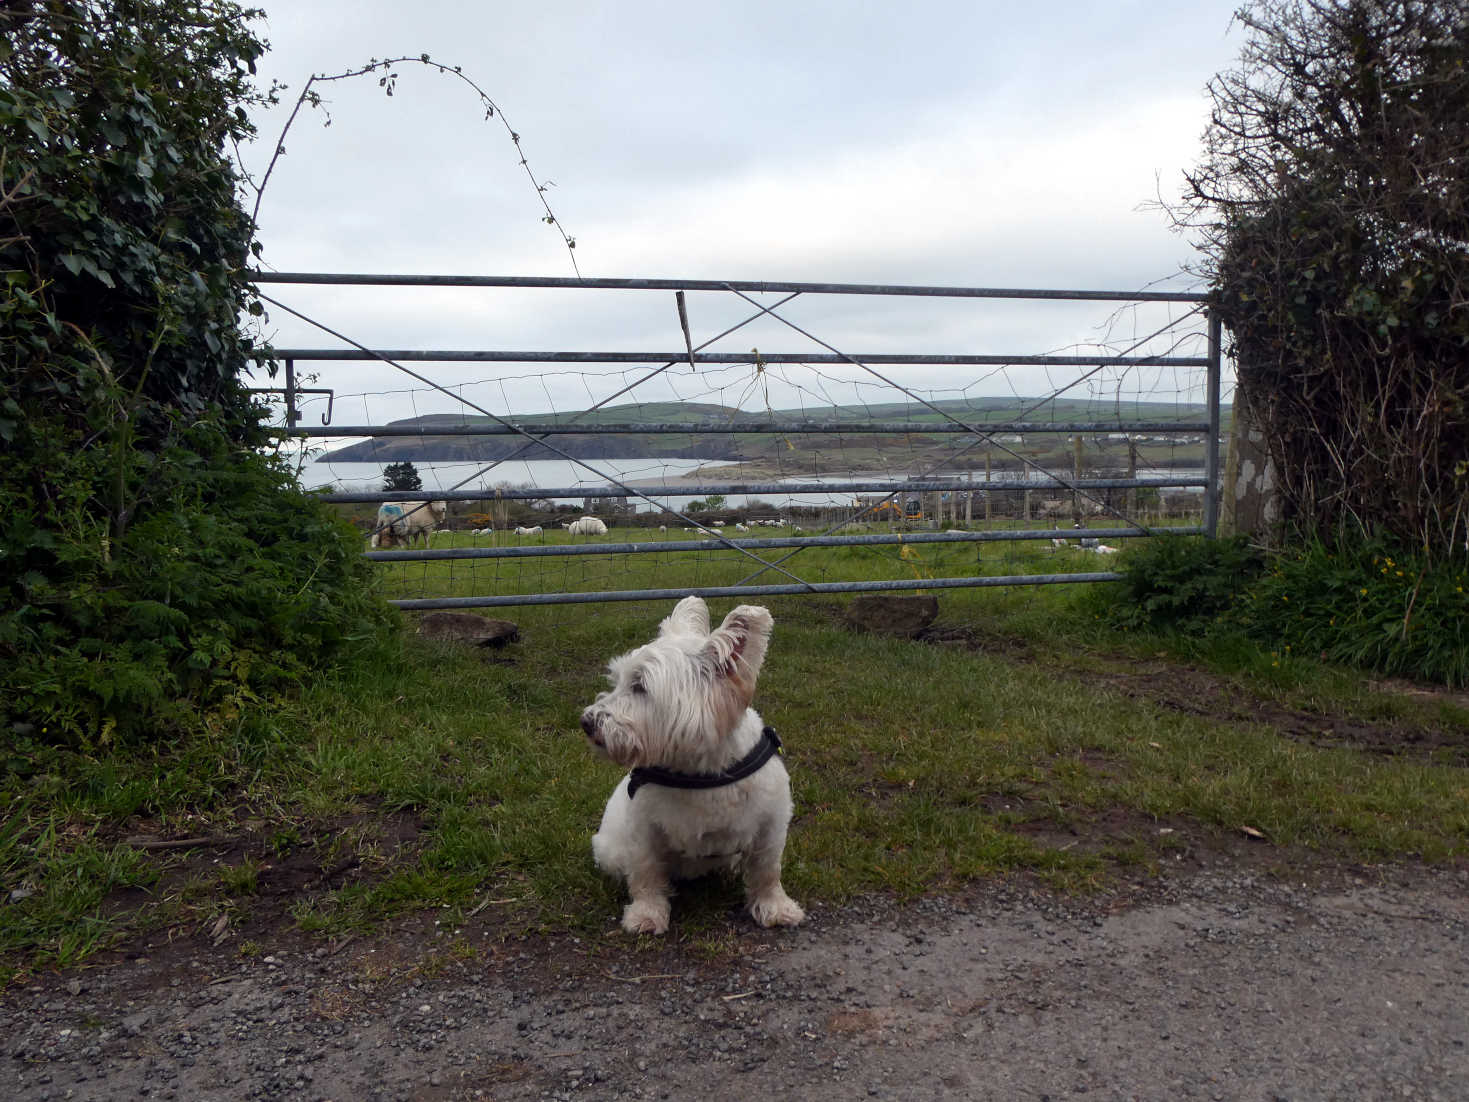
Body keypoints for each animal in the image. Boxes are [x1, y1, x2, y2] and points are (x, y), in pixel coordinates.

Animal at [578, 599, 805, 934]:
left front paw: (775, 907)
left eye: (640, 686)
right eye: (618, 680)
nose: (586, 722)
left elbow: (767, 870)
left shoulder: (771, 824)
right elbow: (645, 872)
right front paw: (647, 913)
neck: (702, 770)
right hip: (610, 849)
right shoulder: (643, 829)